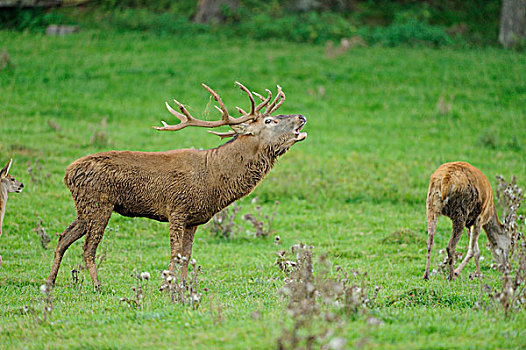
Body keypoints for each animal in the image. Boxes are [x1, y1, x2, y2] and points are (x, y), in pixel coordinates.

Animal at [48, 82, 310, 290]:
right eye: (269, 120)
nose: (301, 116)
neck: (213, 180)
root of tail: (68, 173)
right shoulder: (177, 208)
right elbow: (175, 253)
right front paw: (166, 285)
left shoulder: (194, 219)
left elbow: (187, 254)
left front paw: (183, 285)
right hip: (99, 203)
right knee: (88, 246)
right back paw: (96, 285)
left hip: (85, 207)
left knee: (63, 237)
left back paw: (50, 281)